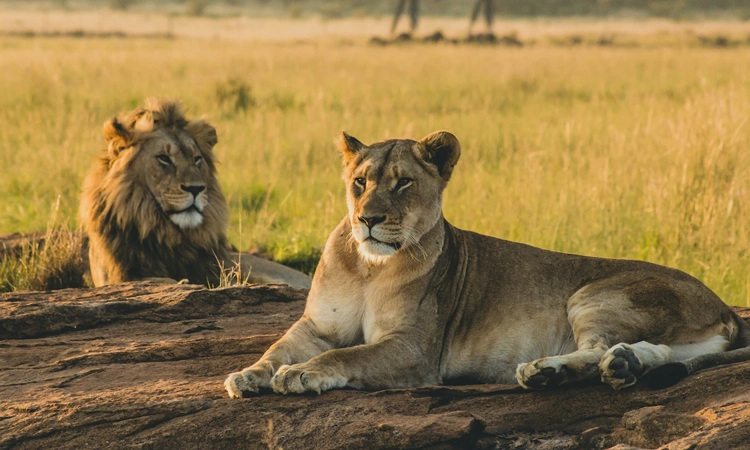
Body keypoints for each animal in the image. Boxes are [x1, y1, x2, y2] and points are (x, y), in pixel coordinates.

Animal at [80, 99, 311, 290]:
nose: (196, 189)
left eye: (197, 158)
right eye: (164, 158)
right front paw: (181, 282)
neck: (162, 231)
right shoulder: (117, 276)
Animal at [224, 130, 750, 397]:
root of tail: (725, 307)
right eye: (360, 182)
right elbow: (278, 347)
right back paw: (620, 365)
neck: (369, 267)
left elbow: (345, 356)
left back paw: (547, 370)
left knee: (598, 348)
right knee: (652, 352)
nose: (368, 219)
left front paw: (300, 374)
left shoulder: (414, 349)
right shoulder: (317, 325)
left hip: (592, 293)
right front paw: (249, 375)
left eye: (403, 183)